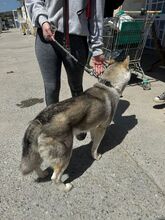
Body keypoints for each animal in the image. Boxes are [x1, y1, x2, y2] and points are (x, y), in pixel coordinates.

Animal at [20, 55, 131, 192]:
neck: (109, 85)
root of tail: (39, 120)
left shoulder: (94, 125)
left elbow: (93, 138)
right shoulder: (102, 127)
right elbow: (95, 146)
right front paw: (96, 156)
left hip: (37, 152)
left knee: (36, 165)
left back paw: (42, 174)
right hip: (65, 155)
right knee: (55, 177)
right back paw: (65, 187)